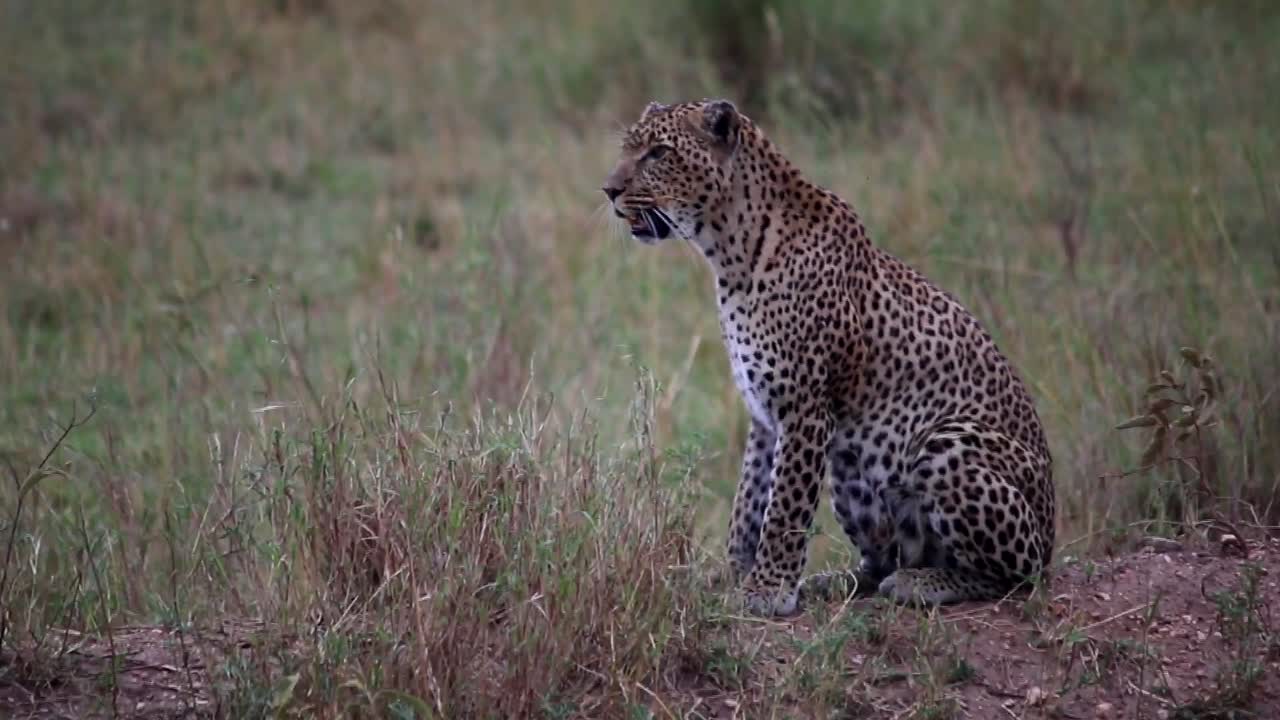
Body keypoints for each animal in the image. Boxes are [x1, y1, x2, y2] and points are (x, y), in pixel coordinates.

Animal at [602, 99, 1055, 616]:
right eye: (628, 148)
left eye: (658, 153)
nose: (609, 190)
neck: (731, 254)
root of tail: (1053, 531)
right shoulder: (763, 414)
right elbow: (749, 501)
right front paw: (733, 574)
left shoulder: (804, 407)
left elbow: (785, 506)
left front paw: (768, 589)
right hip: (851, 466)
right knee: (881, 560)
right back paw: (841, 581)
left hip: (947, 442)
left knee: (1016, 573)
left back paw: (924, 583)